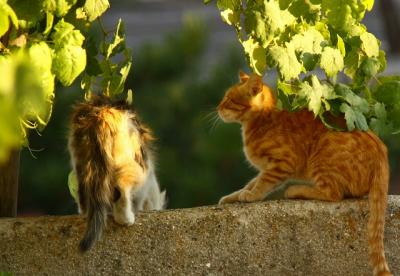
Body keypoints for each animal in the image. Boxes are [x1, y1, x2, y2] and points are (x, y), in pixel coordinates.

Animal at [68, 95, 165, 252]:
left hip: (82, 161)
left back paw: (86, 213)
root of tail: (102, 113)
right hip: (132, 165)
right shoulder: (146, 180)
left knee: (84, 192)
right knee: (121, 190)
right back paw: (126, 219)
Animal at [217, 71, 390, 276]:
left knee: (334, 194)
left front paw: (251, 195)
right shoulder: (267, 168)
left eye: (229, 100)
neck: (260, 121)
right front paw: (233, 196)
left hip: (321, 156)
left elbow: (262, 184)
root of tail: (381, 154)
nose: (217, 108)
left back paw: (296, 190)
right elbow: (251, 183)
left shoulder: (282, 164)